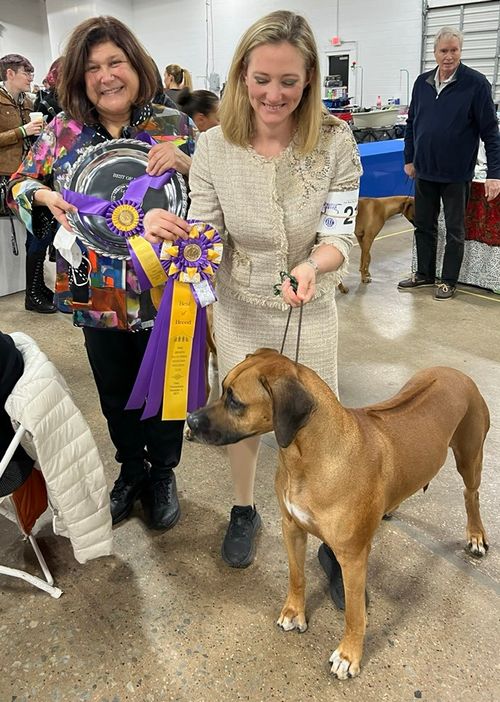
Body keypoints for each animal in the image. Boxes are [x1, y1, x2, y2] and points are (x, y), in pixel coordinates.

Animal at [187, 350, 488, 680]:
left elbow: (355, 615)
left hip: (470, 456)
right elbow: (296, 576)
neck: (306, 456)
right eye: (222, 388)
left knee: (471, 495)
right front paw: (294, 612)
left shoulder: (353, 557)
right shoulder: (291, 526)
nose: (189, 420)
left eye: (235, 401)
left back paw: (476, 536)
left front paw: (348, 655)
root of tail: (457, 373)